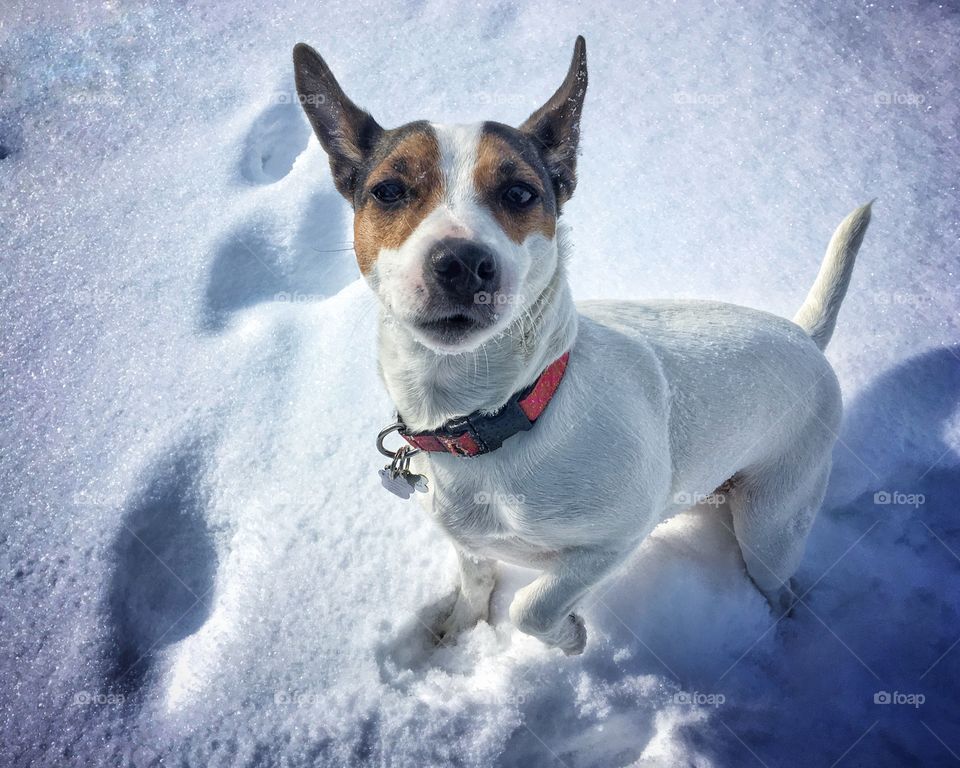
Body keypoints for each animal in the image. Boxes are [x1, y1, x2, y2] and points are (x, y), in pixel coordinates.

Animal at [290, 33, 872, 652]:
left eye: (520, 192)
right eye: (389, 190)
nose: (462, 263)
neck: (491, 418)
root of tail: (804, 334)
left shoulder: (618, 537)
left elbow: (531, 605)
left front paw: (569, 636)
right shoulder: (468, 538)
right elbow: (477, 581)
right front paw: (460, 628)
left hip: (772, 521)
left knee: (782, 583)